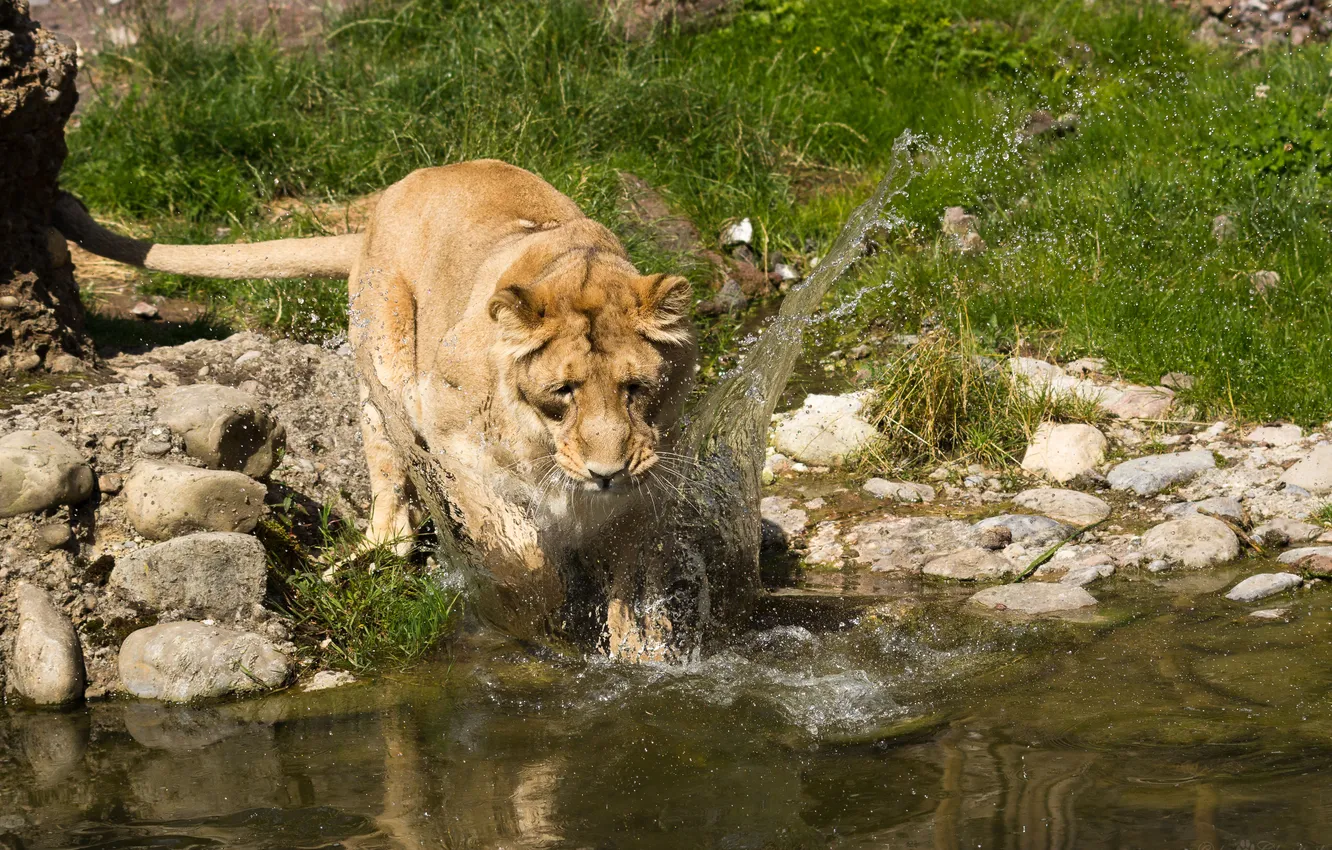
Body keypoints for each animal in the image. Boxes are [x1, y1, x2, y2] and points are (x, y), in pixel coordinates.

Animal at [55, 160, 700, 652]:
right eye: (563, 393)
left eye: (636, 389)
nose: (605, 473)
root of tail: (387, 201)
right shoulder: (450, 433)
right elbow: (519, 552)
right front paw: (534, 617)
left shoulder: (642, 486)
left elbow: (633, 585)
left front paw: (639, 653)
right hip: (386, 362)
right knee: (390, 495)